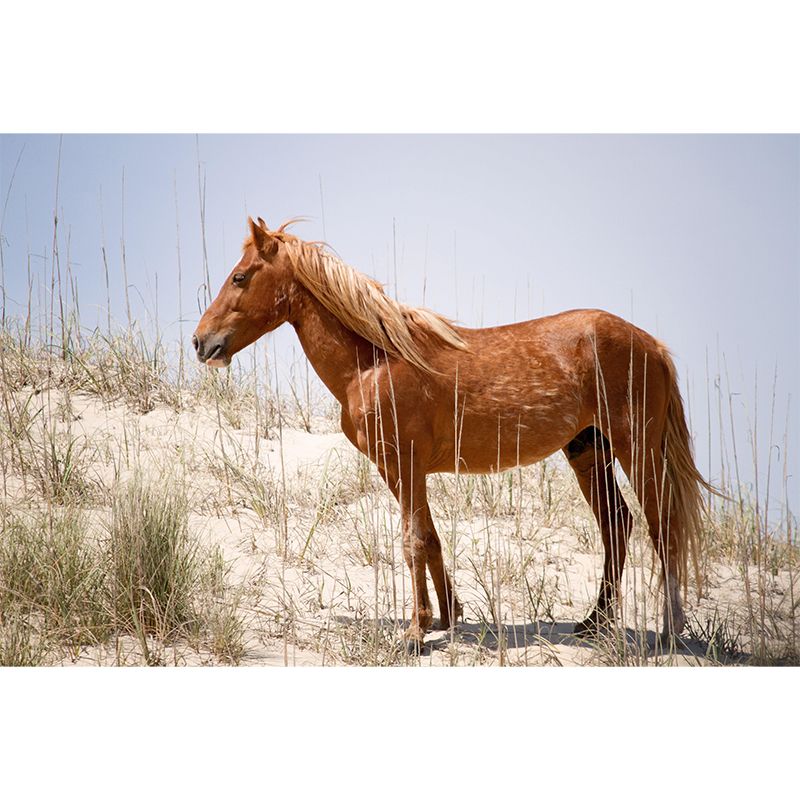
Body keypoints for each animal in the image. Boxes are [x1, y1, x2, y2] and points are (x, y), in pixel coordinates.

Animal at [194, 217, 715, 645]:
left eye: (240, 277)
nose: (201, 343)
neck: (375, 361)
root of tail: (652, 345)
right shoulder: (401, 470)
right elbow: (429, 538)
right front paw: (446, 616)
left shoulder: (406, 465)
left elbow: (412, 542)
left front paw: (416, 630)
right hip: (588, 452)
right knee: (618, 525)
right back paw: (595, 622)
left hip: (636, 449)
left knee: (662, 525)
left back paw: (669, 630)